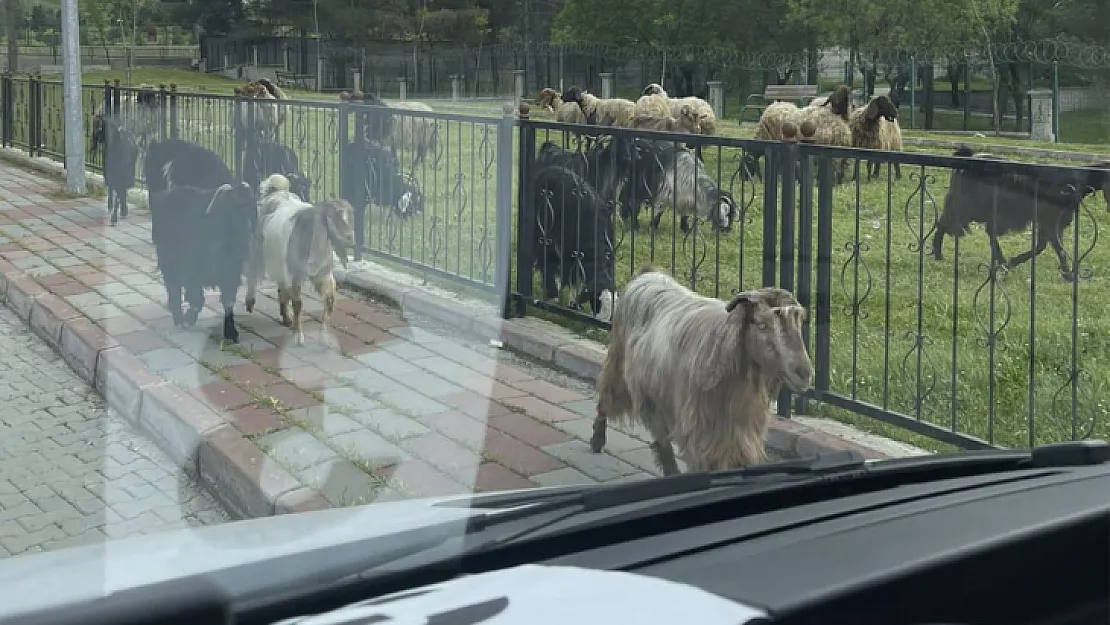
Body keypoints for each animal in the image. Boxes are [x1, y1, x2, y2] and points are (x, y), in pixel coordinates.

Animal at [147, 180, 255, 344]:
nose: (245, 241)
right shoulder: (191, 269)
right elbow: (196, 297)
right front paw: (187, 319)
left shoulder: (231, 271)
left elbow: (228, 300)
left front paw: (231, 333)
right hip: (168, 260)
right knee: (173, 287)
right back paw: (179, 318)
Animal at [532, 165, 621, 317]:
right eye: (596, 302)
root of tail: (548, 169)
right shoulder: (570, 250)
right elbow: (572, 276)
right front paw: (572, 302)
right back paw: (552, 292)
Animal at [590, 266, 816, 477]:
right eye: (761, 325)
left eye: (799, 324)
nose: (804, 373)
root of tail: (647, 274)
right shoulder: (702, 426)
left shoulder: (740, 427)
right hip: (620, 363)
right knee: (607, 398)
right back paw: (597, 440)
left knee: (659, 431)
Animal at [927, 146, 1110, 278]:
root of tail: (968, 158)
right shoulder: (1050, 221)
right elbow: (1055, 248)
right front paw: (1068, 274)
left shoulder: (1052, 222)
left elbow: (1043, 246)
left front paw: (1067, 273)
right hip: (969, 206)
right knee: (947, 223)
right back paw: (939, 255)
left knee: (980, 230)